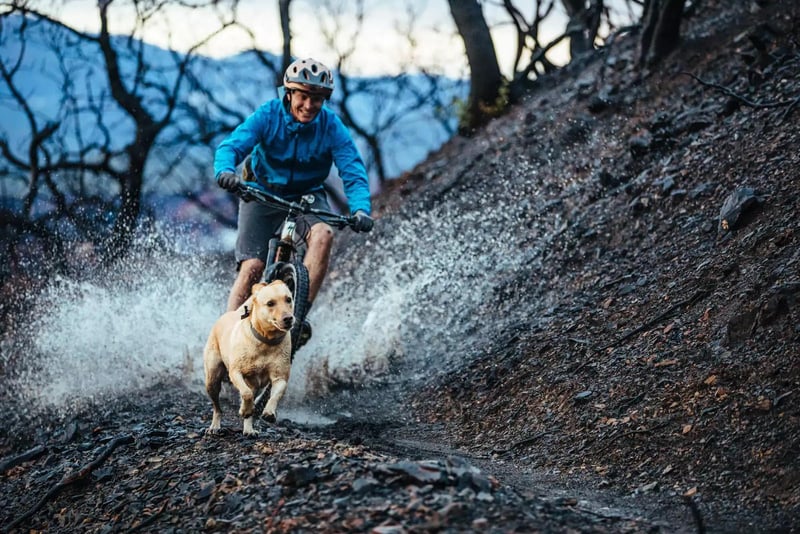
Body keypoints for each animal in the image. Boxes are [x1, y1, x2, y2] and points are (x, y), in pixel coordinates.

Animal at [205, 280, 296, 436]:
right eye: (270, 303)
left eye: (288, 299)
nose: (288, 318)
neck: (266, 341)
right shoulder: (236, 372)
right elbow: (246, 394)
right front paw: (245, 410)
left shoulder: (280, 377)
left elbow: (276, 394)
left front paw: (269, 412)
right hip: (212, 380)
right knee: (217, 408)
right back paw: (215, 426)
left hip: (254, 386)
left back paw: (248, 429)